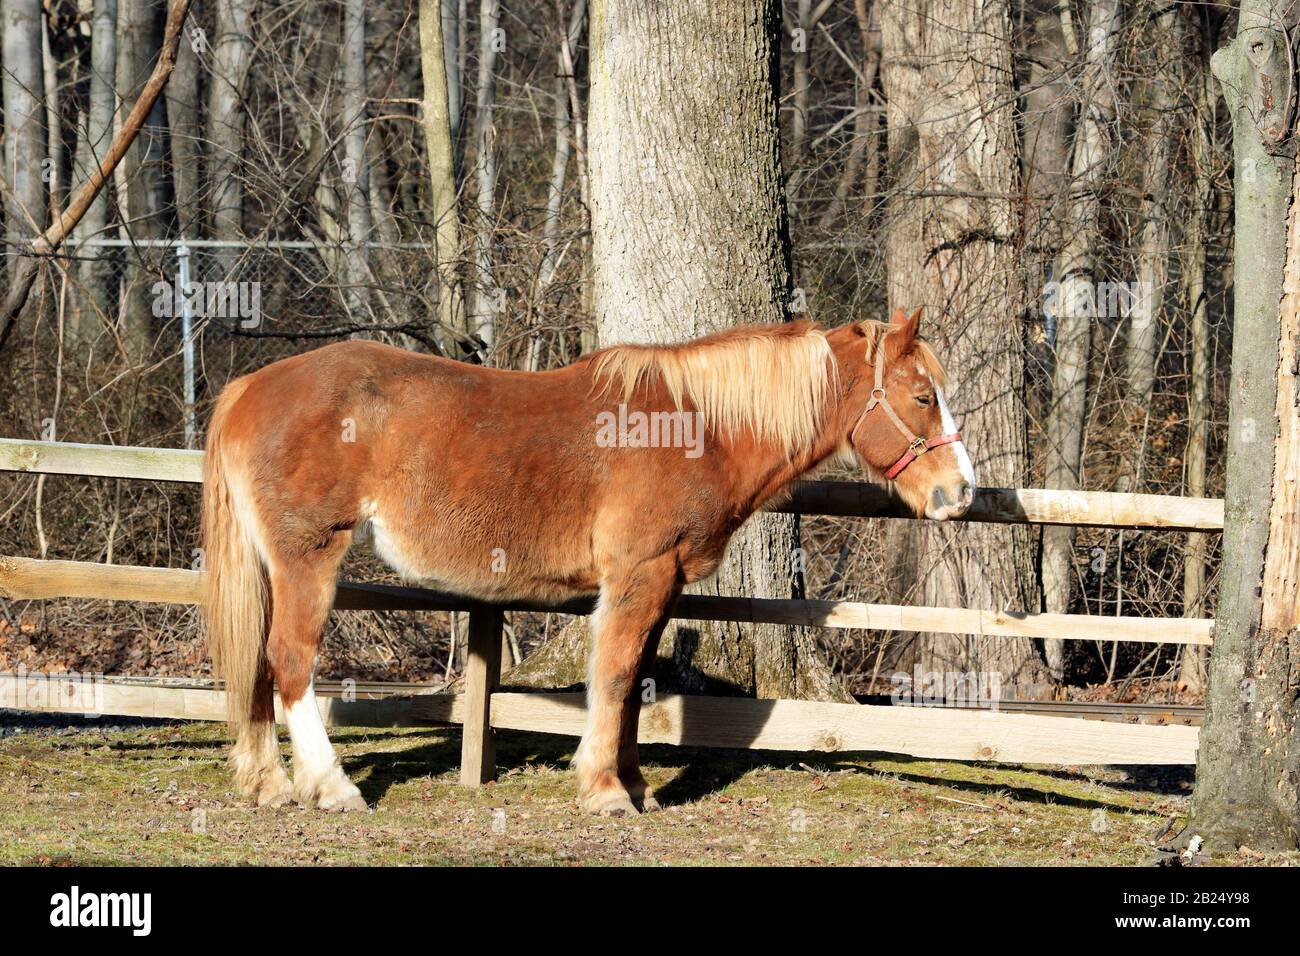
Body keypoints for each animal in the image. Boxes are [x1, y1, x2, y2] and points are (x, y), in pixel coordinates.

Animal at [200, 308, 977, 816]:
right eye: (922, 396)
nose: (960, 492)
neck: (695, 424)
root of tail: (247, 388)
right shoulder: (640, 574)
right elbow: (615, 673)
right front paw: (604, 791)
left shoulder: (663, 583)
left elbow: (633, 681)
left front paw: (631, 784)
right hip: (309, 559)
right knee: (291, 660)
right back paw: (331, 787)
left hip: (274, 569)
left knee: (261, 666)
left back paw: (269, 783)